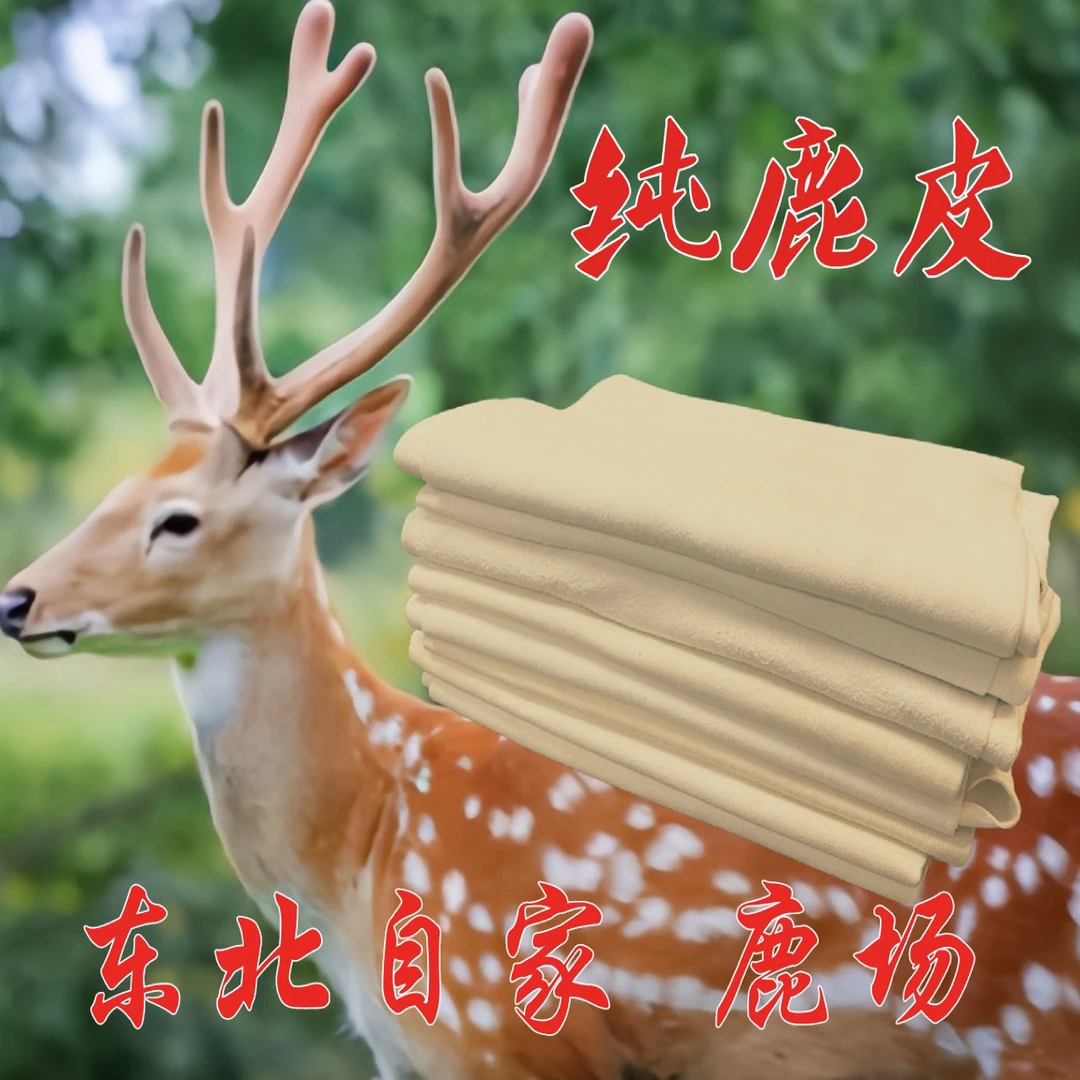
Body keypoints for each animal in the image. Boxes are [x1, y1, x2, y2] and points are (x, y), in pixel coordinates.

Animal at [1, 3, 1077, 1078]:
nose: (18, 598)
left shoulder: (507, 1034)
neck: (370, 842)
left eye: (177, 519)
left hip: (1030, 1025)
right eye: (115, 490)